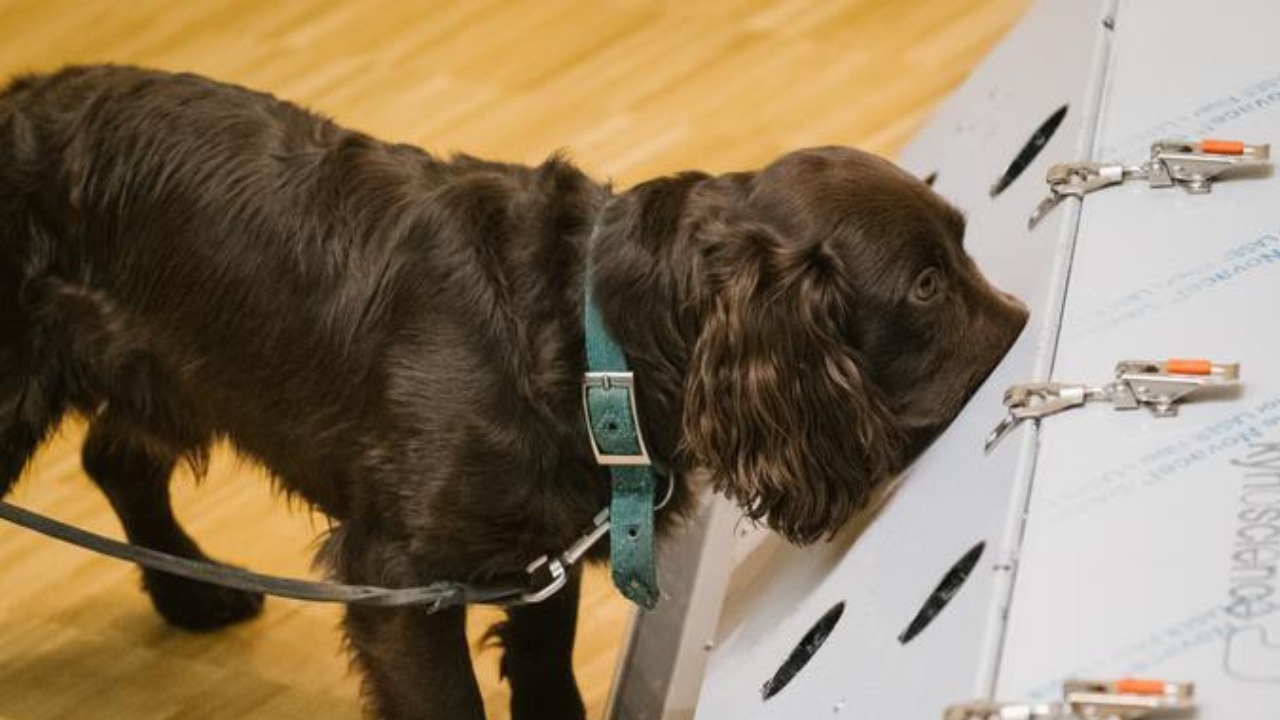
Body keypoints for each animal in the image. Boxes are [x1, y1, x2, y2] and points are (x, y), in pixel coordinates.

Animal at [0, 63, 1018, 717]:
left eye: (962, 248)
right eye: (926, 286)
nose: (1027, 325)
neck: (592, 345)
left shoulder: (538, 556)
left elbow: (546, 681)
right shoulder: (399, 583)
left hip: (164, 370)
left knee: (116, 457)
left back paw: (192, 595)